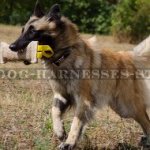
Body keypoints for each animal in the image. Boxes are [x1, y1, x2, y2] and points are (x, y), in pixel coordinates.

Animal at [9, 1, 150, 150]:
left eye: (33, 31)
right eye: (22, 30)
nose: (11, 47)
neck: (65, 56)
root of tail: (127, 56)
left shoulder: (83, 100)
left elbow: (76, 124)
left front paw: (69, 142)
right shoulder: (62, 95)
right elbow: (54, 112)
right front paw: (60, 132)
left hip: (127, 107)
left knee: (146, 121)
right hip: (121, 107)